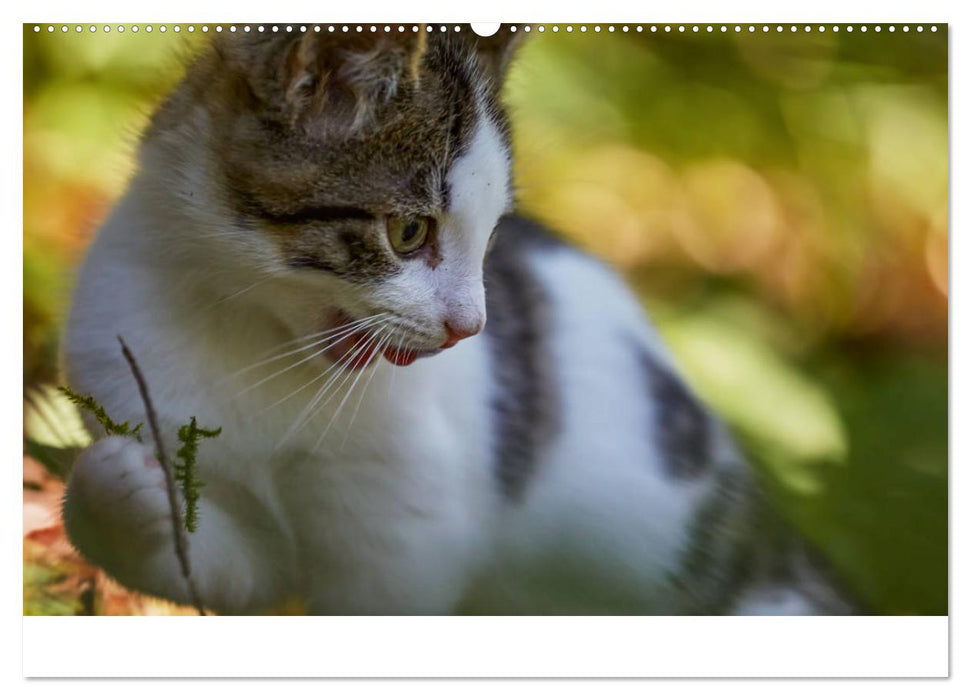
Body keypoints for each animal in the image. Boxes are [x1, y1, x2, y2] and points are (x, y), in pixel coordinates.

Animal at [58, 27, 860, 612]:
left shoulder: (405, 534)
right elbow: (222, 567)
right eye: (408, 231)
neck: (255, 342)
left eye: (491, 233)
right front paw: (113, 492)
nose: (469, 326)